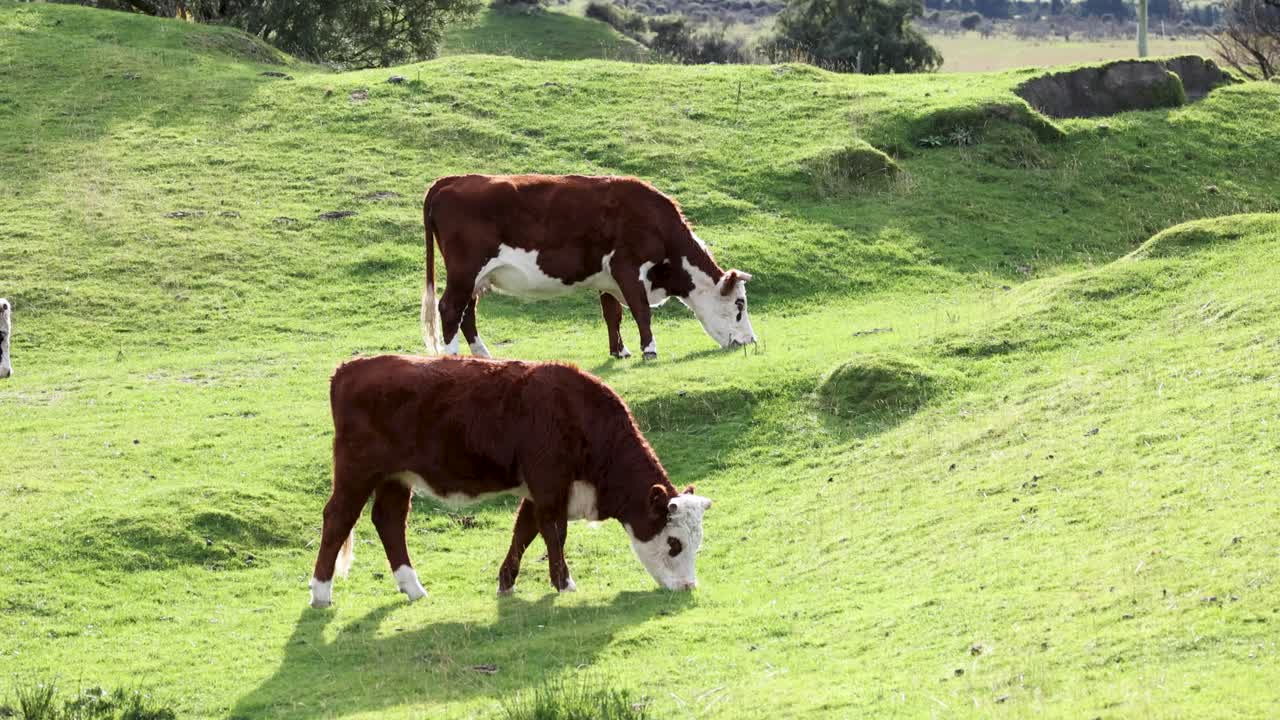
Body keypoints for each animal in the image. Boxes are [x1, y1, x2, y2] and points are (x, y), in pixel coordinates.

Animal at [309, 354, 713, 608]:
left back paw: (413, 588)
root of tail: (350, 368)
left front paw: (506, 583)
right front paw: (564, 583)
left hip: (395, 477)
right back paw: (321, 593)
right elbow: (554, 533)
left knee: (389, 520)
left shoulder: (538, 491)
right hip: (357, 472)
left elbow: (524, 531)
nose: (688, 586)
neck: (577, 414)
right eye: (674, 543)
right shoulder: (549, 486)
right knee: (338, 519)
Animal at [419, 174, 756, 361]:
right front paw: (649, 350)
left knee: (467, 312)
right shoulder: (627, 267)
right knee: (450, 308)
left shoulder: (607, 278)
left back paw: (484, 357)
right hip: (465, 270)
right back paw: (452, 356)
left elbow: (612, 314)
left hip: (477, 277)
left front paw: (620, 352)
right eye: (739, 304)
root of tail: (454, 179)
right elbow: (641, 311)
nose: (752, 341)